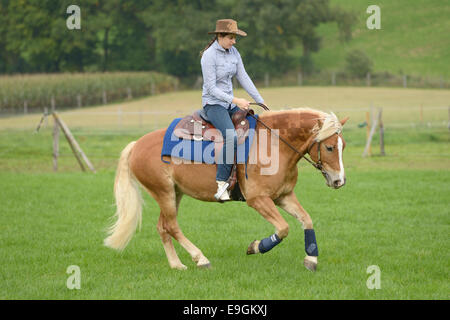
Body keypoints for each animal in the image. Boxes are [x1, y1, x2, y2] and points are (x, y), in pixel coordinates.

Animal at [104, 107, 348, 270]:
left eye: (342, 146)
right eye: (329, 147)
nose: (339, 181)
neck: (273, 144)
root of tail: (136, 145)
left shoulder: (284, 196)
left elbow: (306, 220)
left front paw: (311, 259)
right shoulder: (258, 200)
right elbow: (283, 228)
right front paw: (256, 246)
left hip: (174, 194)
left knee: (162, 227)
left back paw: (176, 264)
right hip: (163, 193)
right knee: (172, 226)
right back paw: (200, 259)